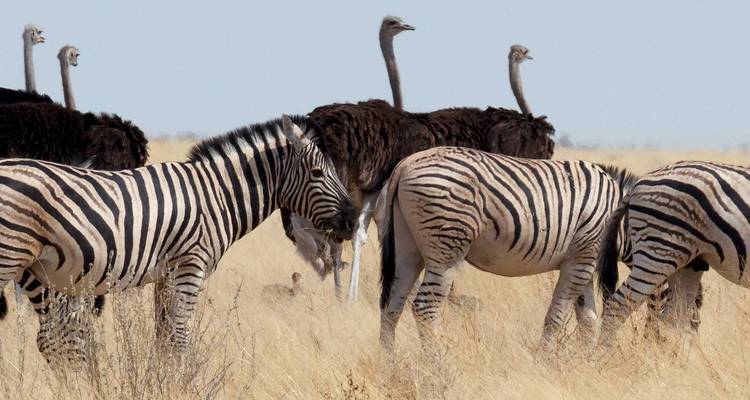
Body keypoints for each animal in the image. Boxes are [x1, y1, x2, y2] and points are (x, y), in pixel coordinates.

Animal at [0, 114, 356, 360]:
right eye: (318, 173)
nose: (352, 220)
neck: (216, 196)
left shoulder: (166, 274)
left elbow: (164, 337)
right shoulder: (190, 267)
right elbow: (180, 338)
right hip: (9, 256)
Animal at [378, 146, 637, 352]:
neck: (617, 219)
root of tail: (407, 163)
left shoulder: (583, 262)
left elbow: (588, 320)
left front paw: (584, 363)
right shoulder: (581, 258)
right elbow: (557, 317)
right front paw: (546, 362)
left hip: (407, 249)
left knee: (392, 306)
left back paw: (390, 366)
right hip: (446, 246)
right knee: (425, 308)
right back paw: (435, 369)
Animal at [596, 161, 750, 345]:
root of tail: (638, 185)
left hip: (687, 262)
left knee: (673, 318)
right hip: (659, 253)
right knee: (618, 306)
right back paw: (606, 353)